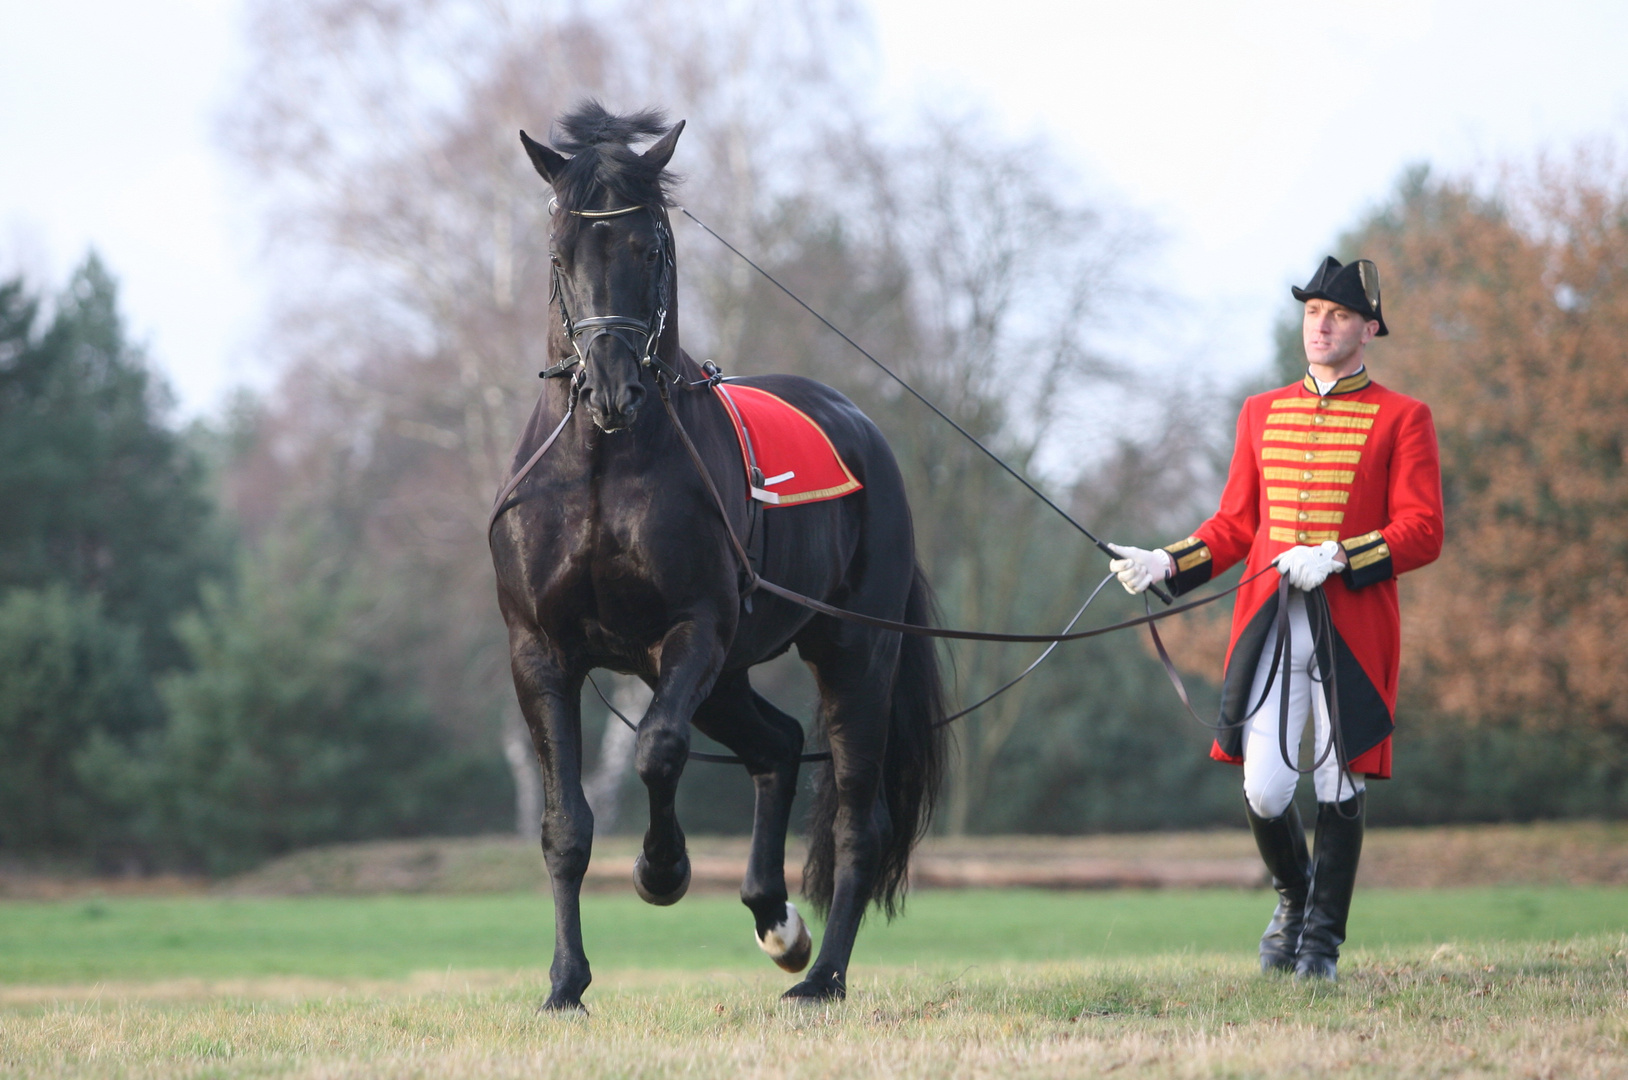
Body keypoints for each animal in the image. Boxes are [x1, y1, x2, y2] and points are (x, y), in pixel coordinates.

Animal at [494, 105, 950, 1009]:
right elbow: (566, 825)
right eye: (562, 251)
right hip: (731, 674)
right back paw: (776, 920)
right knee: (775, 745)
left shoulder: (693, 631)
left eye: (651, 246)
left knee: (858, 818)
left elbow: (656, 751)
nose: (610, 387)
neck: (601, 468)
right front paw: (565, 983)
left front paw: (662, 871)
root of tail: (862, 431)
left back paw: (823, 977)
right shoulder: (541, 651)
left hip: (853, 650)